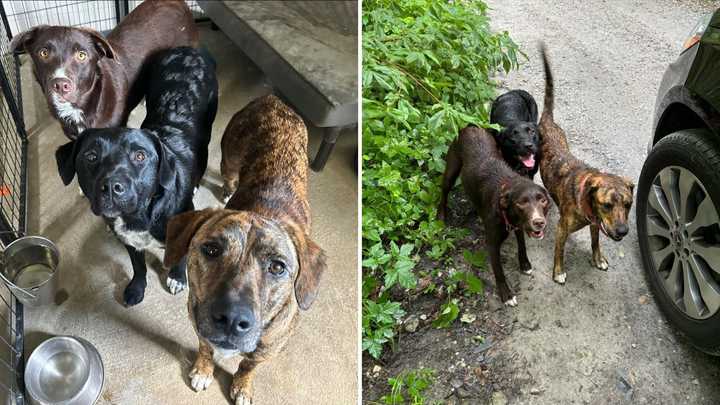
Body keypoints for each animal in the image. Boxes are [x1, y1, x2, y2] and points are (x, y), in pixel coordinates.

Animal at [55, 46, 218, 306]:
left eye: (140, 156)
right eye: (90, 156)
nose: (112, 186)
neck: (143, 214)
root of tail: (189, 49)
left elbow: (181, 257)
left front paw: (177, 277)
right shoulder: (130, 241)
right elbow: (138, 266)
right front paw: (137, 288)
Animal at [163, 94, 326, 400]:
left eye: (278, 267)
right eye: (211, 250)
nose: (230, 319)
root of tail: (272, 99)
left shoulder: (269, 348)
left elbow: (249, 365)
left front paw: (242, 385)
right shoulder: (199, 323)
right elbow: (205, 348)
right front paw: (203, 370)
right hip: (229, 155)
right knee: (229, 174)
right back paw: (228, 188)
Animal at [436, 124, 548, 304]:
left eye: (543, 200)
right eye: (521, 203)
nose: (539, 222)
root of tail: (470, 126)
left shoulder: (518, 227)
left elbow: (522, 246)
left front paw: (525, 264)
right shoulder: (493, 244)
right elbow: (499, 271)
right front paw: (506, 295)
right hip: (451, 170)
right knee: (444, 191)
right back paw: (441, 215)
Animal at [536, 43, 632, 284]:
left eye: (628, 205)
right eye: (607, 205)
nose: (622, 232)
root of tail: (547, 120)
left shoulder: (596, 225)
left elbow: (595, 242)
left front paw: (598, 259)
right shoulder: (562, 228)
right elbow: (559, 251)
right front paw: (558, 271)